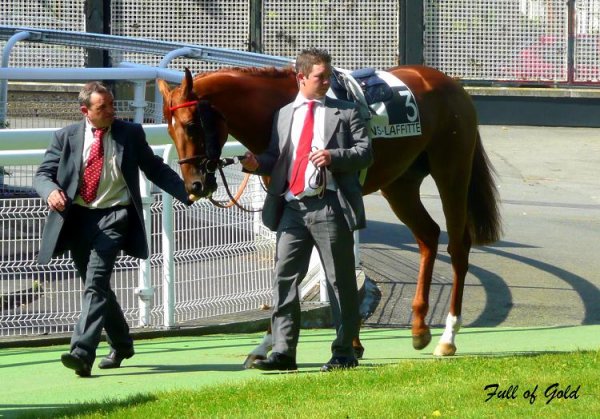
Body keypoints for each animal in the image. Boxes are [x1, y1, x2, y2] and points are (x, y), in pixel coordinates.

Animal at [156, 65, 502, 360]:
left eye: (190, 125)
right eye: (169, 132)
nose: (196, 185)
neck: (280, 107)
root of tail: (451, 83)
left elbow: (334, 265)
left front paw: (345, 342)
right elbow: (297, 269)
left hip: (451, 171)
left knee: (458, 245)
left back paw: (448, 336)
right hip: (400, 184)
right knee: (428, 236)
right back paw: (419, 328)